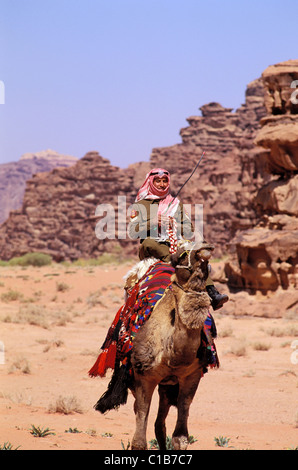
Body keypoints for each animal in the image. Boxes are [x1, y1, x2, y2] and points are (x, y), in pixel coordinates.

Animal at [92, 242, 218, 452]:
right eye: (182, 253)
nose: (205, 250)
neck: (173, 352)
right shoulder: (145, 377)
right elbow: (139, 441)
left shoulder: (191, 376)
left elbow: (180, 438)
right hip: (136, 376)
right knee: (142, 413)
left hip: (167, 384)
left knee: (160, 423)